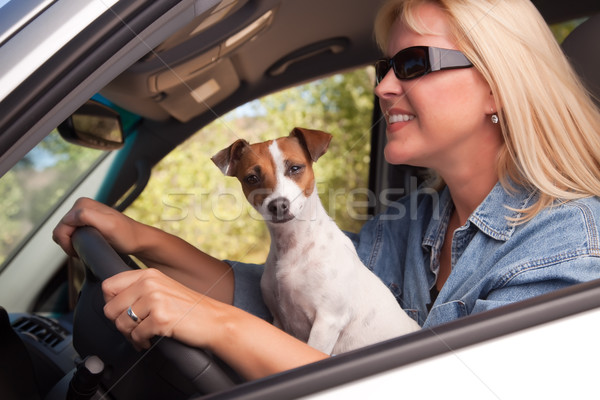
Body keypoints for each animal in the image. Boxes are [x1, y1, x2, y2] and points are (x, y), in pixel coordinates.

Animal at [213, 127, 420, 354]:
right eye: (251, 178)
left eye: (295, 168)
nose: (278, 205)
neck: (296, 243)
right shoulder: (278, 318)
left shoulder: (327, 322)